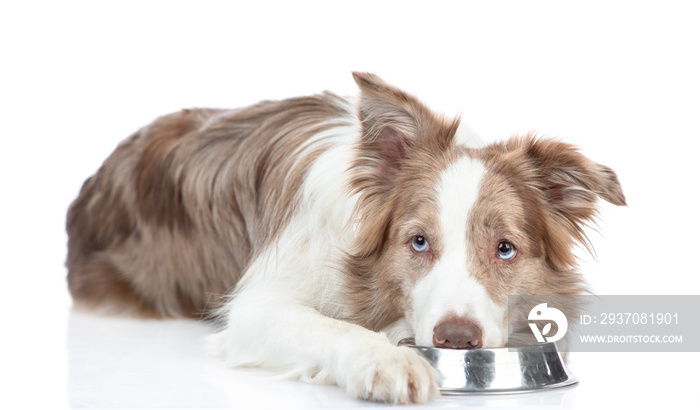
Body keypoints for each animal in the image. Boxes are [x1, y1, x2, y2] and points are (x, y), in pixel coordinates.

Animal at [64, 73, 624, 404]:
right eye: (418, 242)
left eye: (505, 249)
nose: (456, 340)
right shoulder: (254, 309)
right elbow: (331, 328)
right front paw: (388, 361)